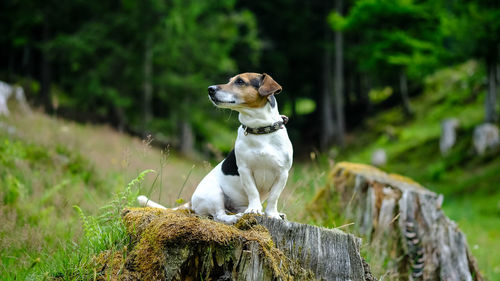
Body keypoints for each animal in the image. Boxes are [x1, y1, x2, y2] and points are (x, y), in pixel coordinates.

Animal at [137, 72, 292, 223]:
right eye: (230, 80)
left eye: (240, 81)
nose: (210, 89)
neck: (260, 131)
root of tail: (191, 201)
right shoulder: (245, 170)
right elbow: (253, 192)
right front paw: (254, 209)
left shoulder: (283, 173)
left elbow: (273, 197)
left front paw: (272, 214)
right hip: (215, 194)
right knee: (219, 216)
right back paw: (235, 217)